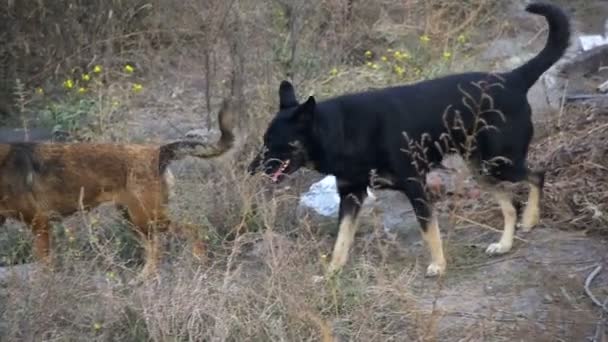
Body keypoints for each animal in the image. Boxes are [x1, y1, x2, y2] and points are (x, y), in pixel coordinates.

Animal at [0, 99, 235, 278]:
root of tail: (158, 152)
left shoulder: (39, 224)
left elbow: (45, 267)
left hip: (147, 218)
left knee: (187, 231)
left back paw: (195, 263)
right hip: (133, 218)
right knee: (156, 248)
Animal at [247, 2, 568, 278]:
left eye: (274, 141)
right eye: (264, 139)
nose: (250, 170)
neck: (343, 131)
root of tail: (513, 78)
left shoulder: (416, 187)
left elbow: (429, 231)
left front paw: (439, 264)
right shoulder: (351, 195)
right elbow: (341, 241)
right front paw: (332, 273)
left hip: (499, 162)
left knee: (537, 175)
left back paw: (530, 219)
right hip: (481, 169)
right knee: (510, 203)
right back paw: (505, 244)